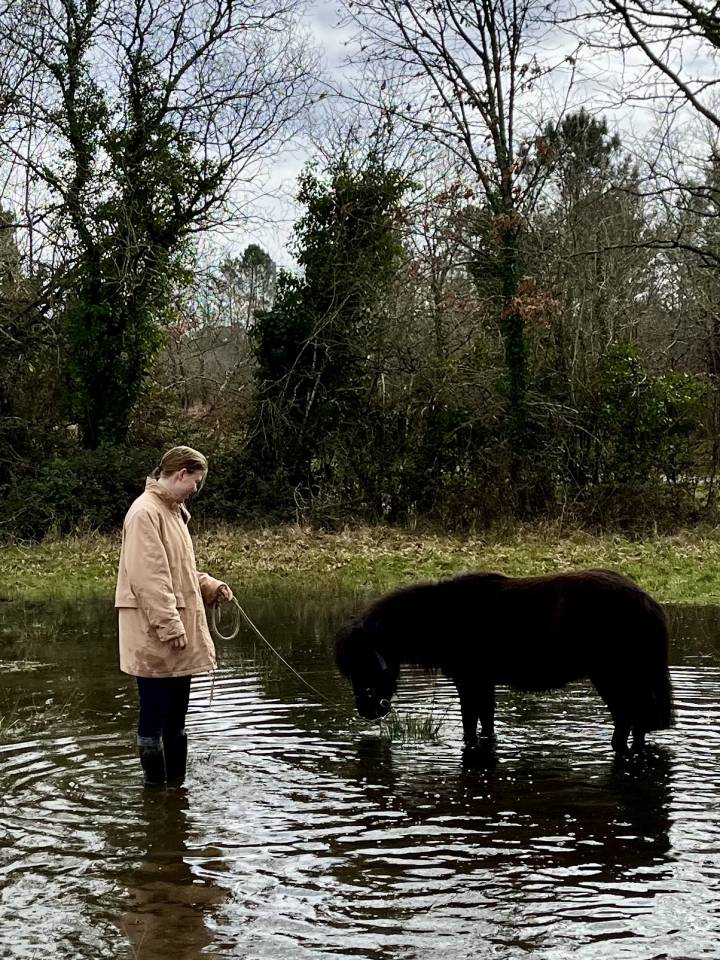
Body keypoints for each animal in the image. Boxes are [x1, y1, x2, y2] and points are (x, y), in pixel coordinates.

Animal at [334, 569, 674, 753]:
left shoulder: (470, 682)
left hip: (613, 678)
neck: (444, 617)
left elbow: (470, 724)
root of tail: (648, 603)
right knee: (635, 722)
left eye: (364, 664)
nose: (366, 711)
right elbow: (485, 723)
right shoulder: (483, 684)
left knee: (629, 719)